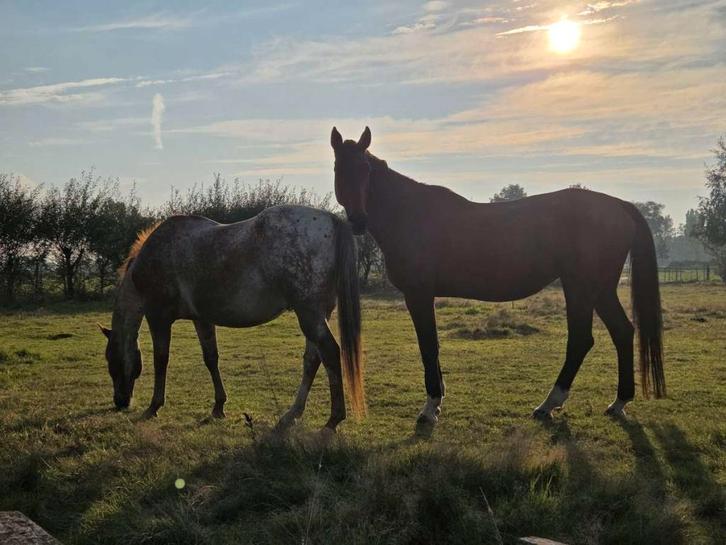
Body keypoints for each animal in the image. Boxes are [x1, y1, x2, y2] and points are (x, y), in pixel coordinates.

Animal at [98, 205, 366, 432]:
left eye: (112, 361)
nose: (120, 401)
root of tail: (332, 220)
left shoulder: (159, 318)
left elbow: (161, 361)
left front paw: (154, 406)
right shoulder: (201, 319)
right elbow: (211, 358)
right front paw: (218, 406)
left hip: (310, 314)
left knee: (330, 354)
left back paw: (333, 420)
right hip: (317, 315)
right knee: (312, 360)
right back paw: (292, 415)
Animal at [330, 126, 665, 426]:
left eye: (365, 170)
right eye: (338, 168)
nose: (358, 221)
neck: (411, 214)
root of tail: (619, 206)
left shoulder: (419, 294)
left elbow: (429, 346)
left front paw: (430, 407)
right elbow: (432, 347)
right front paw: (438, 401)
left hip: (580, 287)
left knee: (581, 340)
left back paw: (548, 404)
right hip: (601, 289)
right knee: (623, 332)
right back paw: (618, 402)